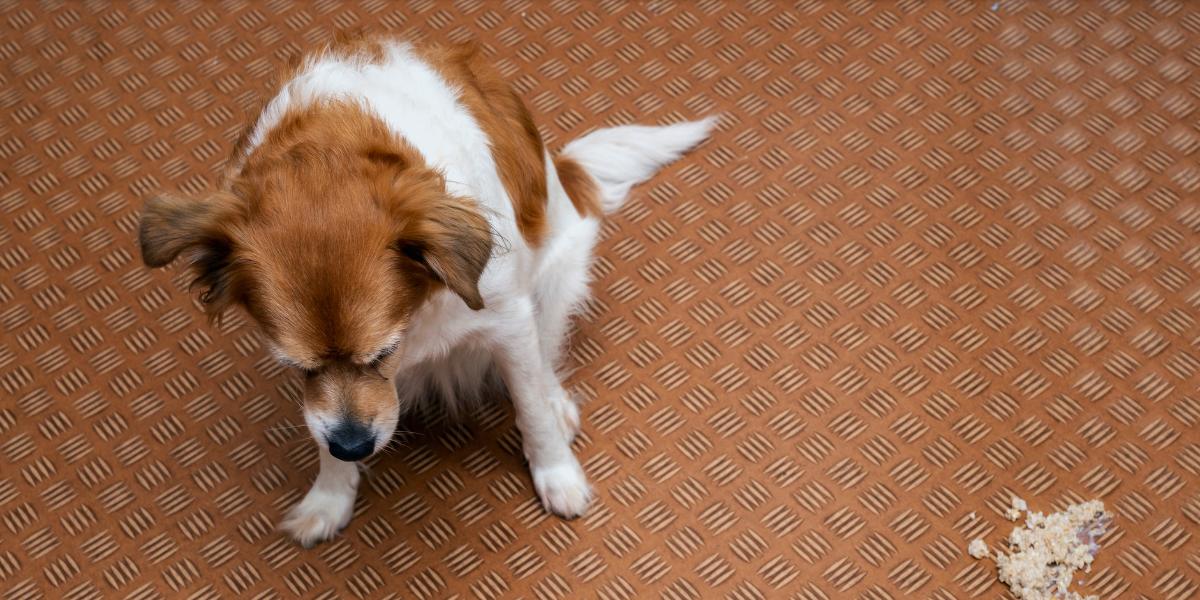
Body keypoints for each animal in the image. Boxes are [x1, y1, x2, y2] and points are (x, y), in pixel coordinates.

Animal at [137, 34, 710, 549]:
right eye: (299, 367)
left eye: (382, 352)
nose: (354, 446)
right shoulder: (323, 402)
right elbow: (319, 428)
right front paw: (329, 498)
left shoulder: (509, 320)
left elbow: (530, 406)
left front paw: (557, 473)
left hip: (558, 276)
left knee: (546, 356)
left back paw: (558, 402)